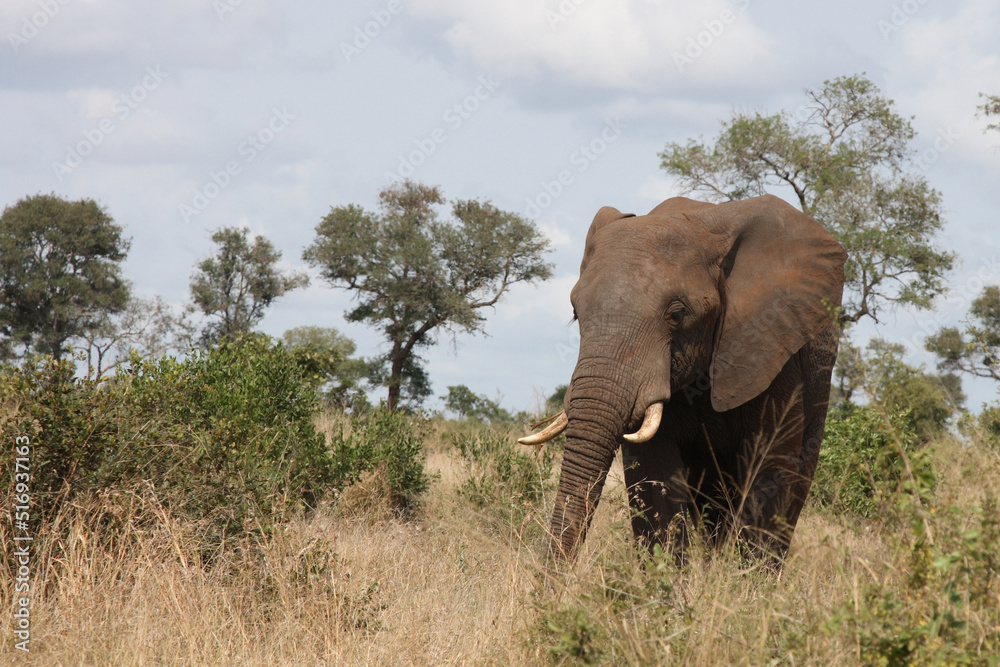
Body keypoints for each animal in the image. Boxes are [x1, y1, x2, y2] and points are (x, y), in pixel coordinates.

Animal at [524, 194, 844, 564]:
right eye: (576, 313)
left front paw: (741, 577)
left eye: (676, 315)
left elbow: (770, 470)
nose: (550, 575)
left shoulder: (774, 350)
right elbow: (653, 477)